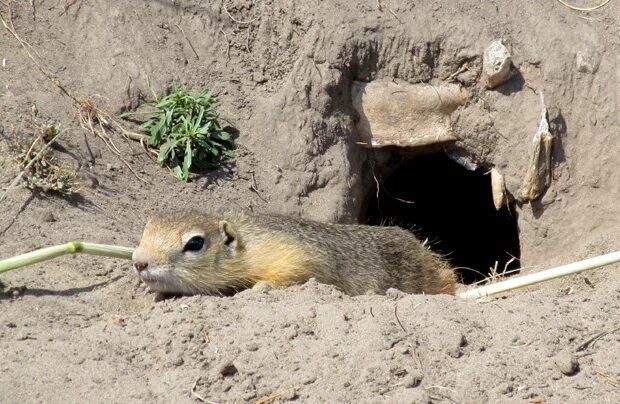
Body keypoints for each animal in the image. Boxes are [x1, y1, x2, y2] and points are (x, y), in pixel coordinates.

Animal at [132, 213, 456, 296]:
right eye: (147, 226)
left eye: (195, 243)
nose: (138, 262)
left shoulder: (291, 253)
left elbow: (294, 272)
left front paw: (259, 288)